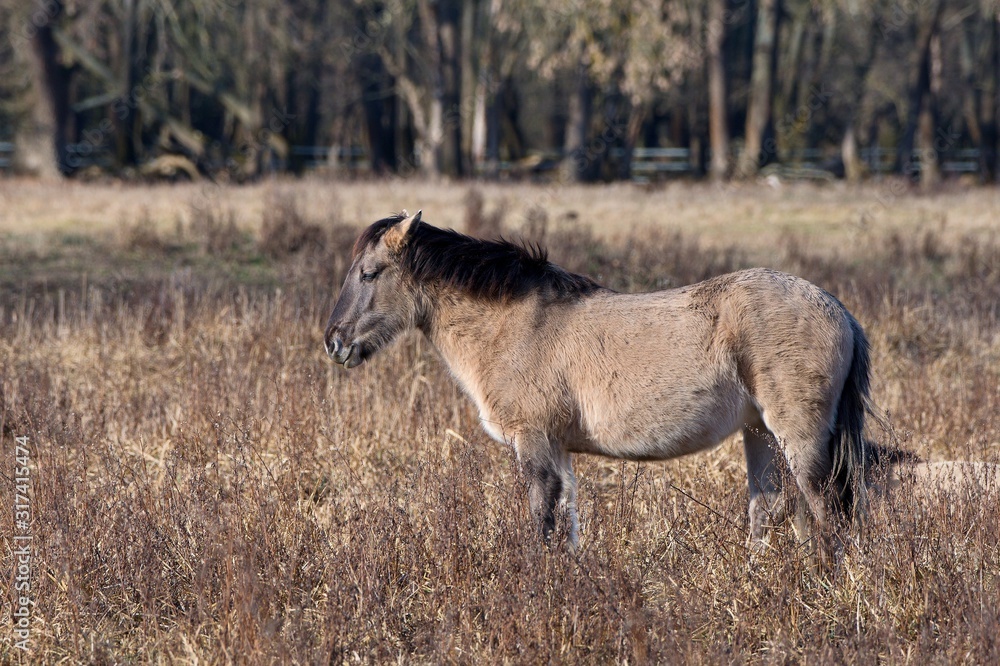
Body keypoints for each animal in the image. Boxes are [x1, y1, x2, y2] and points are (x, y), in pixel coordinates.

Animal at [324, 210, 881, 547]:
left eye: (370, 273)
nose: (334, 341)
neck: (516, 325)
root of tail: (840, 311)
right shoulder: (559, 449)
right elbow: (567, 526)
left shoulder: (535, 444)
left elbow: (544, 520)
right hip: (760, 433)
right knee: (773, 512)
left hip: (799, 438)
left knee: (827, 512)